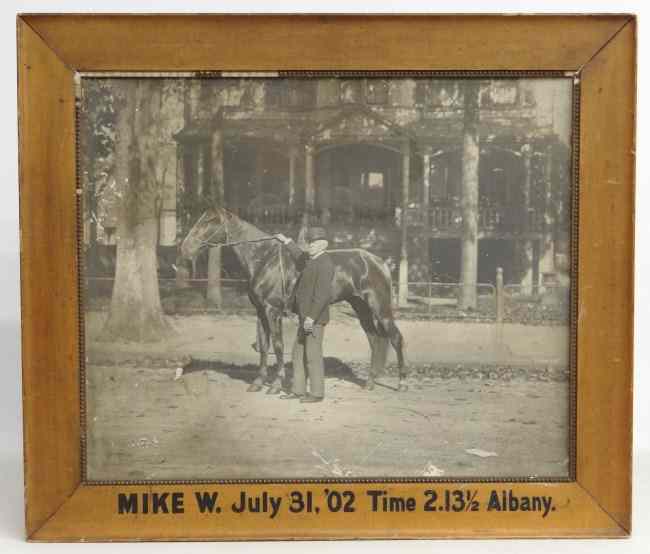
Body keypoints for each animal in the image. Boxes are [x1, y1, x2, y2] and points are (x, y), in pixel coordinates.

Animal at [177, 206, 404, 392]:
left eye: (210, 221)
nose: (184, 248)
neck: (264, 259)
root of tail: (378, 262)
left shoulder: (273, 311)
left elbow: (278, 346)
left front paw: (276, 385)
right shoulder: (260, 312)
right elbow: (264, 346)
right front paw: (258, 383)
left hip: (380, 309)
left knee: (395, 338)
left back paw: (401, 383)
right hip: (361, 308)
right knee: (375, 340)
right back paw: (370, 383)